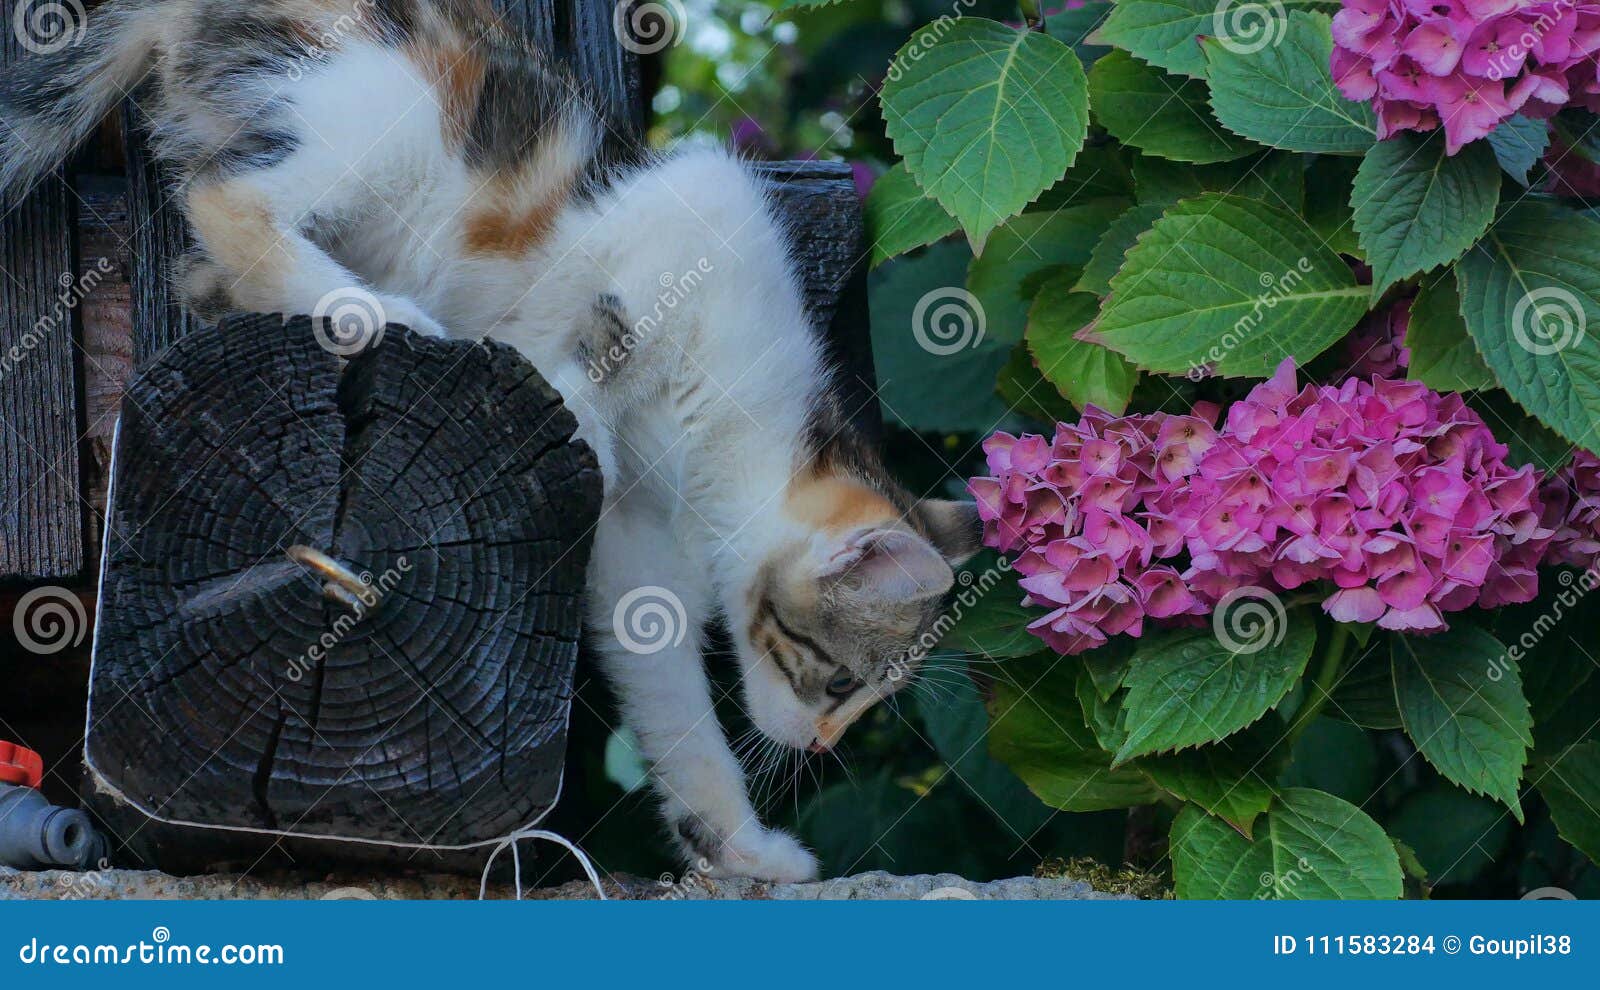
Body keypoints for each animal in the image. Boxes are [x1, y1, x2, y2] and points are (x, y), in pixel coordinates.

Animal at [0, 0, 979, 882]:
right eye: (842, 682)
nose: (819, 747)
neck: (726, 443)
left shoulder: (637, 545)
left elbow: (668, 689)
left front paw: (737, 843)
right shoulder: (676, 225)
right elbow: (596, 349)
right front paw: (580, 411)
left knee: (201, 265)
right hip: (388, 108)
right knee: (225, 199)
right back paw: (387, 313)